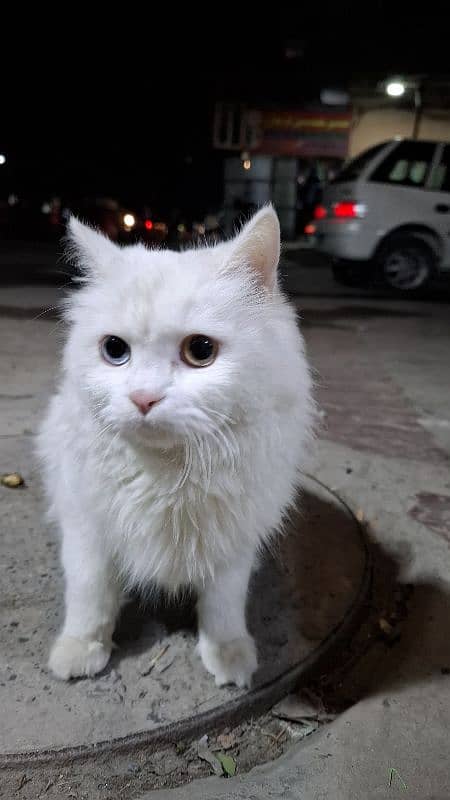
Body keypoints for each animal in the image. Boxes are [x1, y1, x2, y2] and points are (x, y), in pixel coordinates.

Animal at [37, 206, 312, 688]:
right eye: (114, 350)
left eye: (200, 350)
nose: (143, 399)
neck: (168, 471)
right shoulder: (87, 531)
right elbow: (90, 599)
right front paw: (80, 652)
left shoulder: (232, 545)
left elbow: (223, 608)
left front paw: (229, 658)